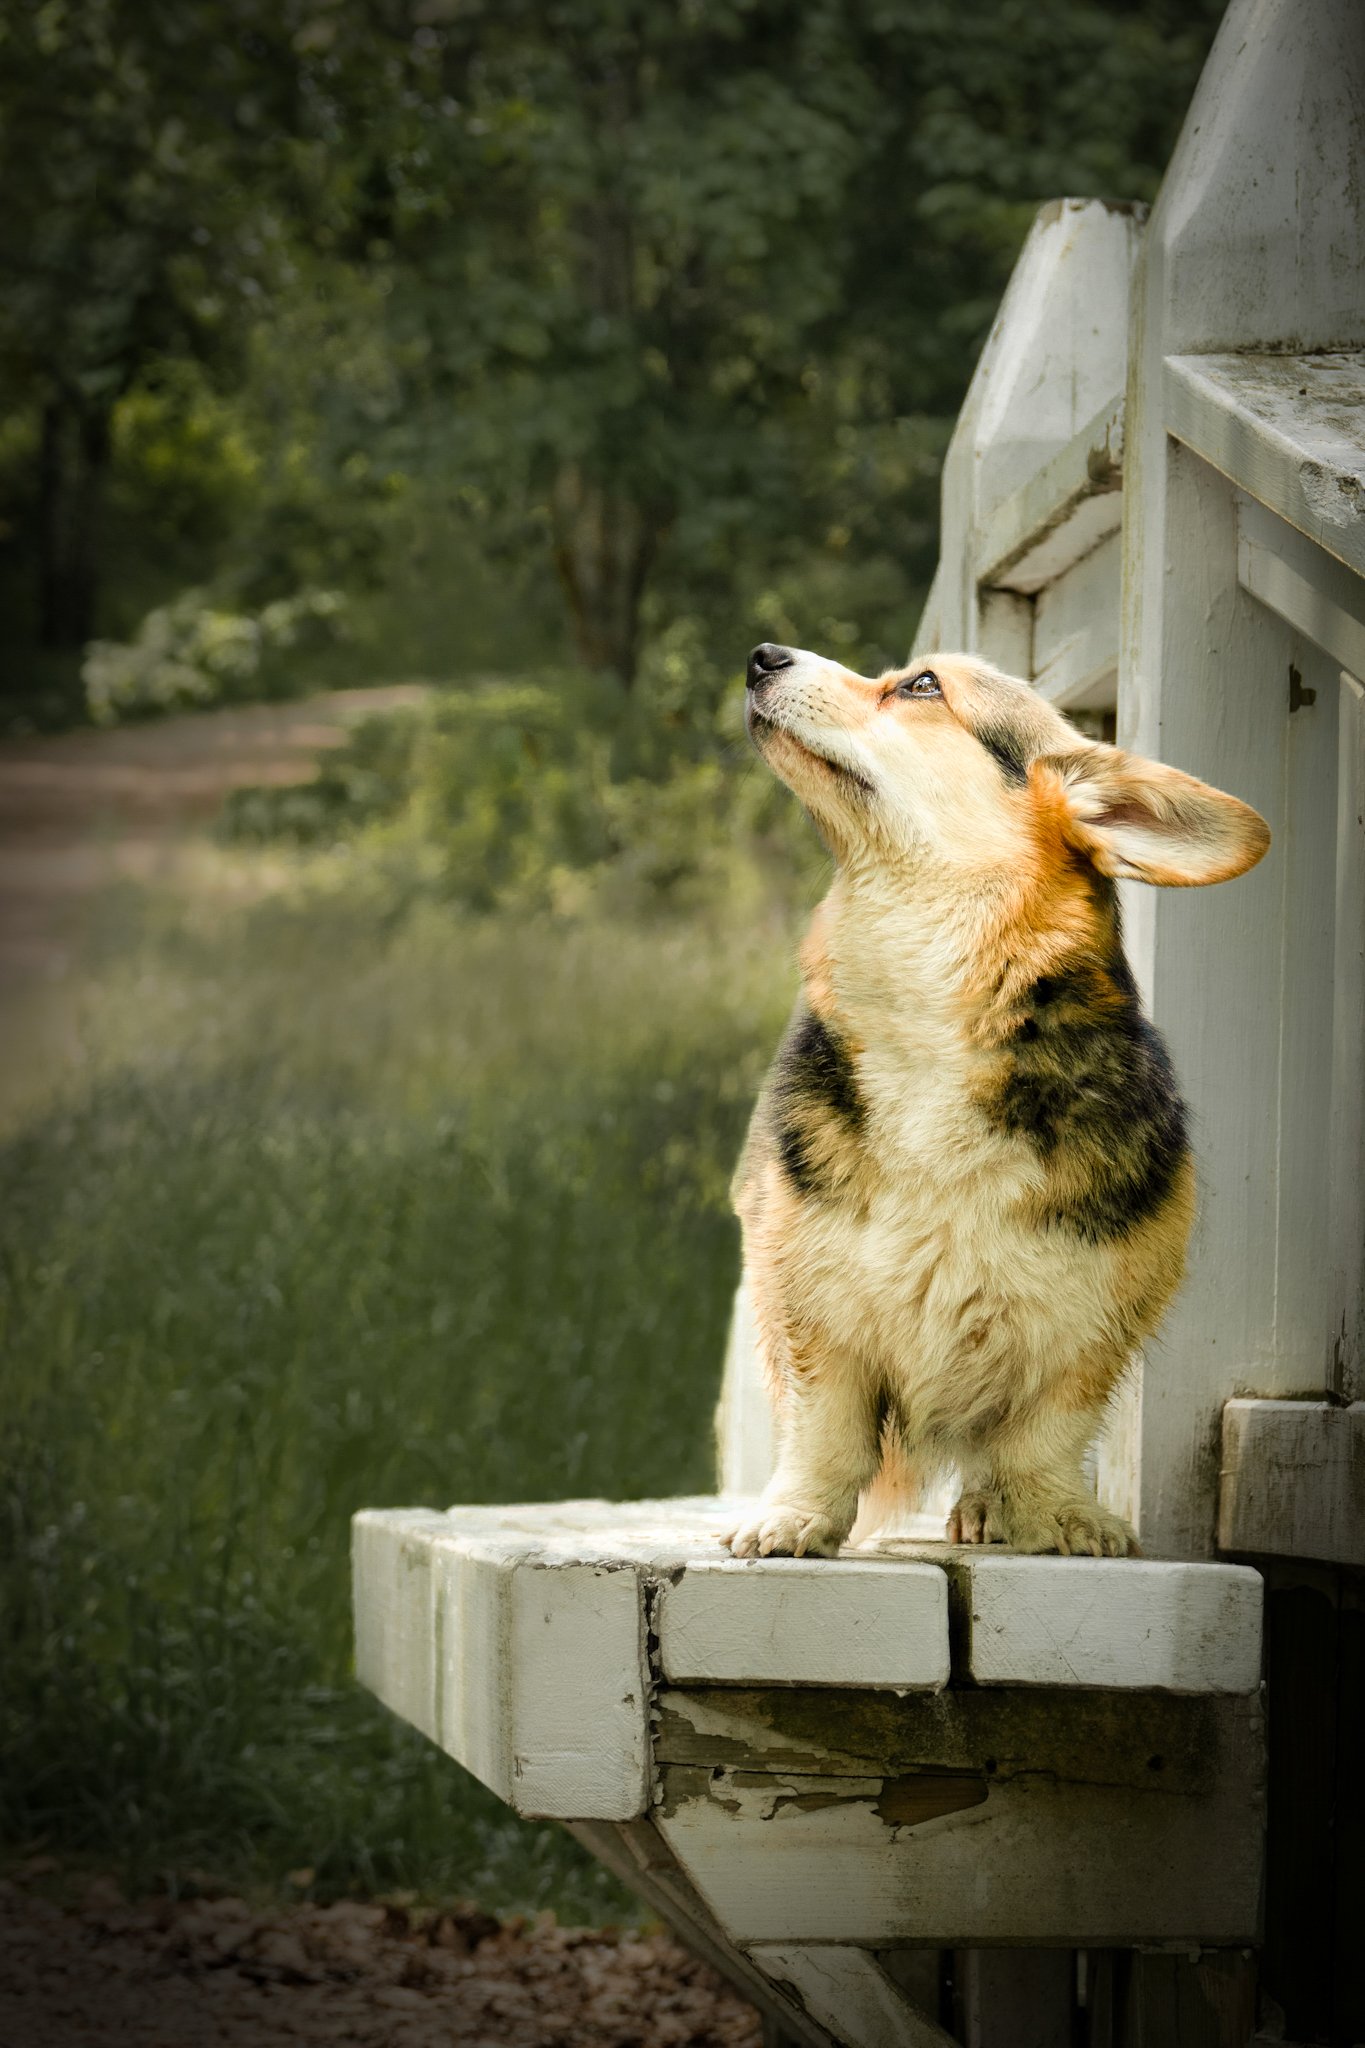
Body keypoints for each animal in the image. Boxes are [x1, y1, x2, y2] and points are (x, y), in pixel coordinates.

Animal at [724, 647, 1268, 1556]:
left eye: (920, 686)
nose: (761, 657)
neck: (933, 1015)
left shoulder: (1091, 1324)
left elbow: (1043, 1436)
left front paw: (1054, 1516)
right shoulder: (807, 1303)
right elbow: (822, 1431)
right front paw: (794, 1517)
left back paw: (986, 1510)